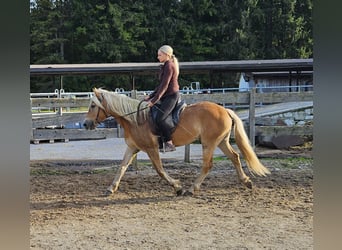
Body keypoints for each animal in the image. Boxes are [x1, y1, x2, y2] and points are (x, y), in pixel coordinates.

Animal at [83, 87, 270, 196]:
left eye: (93, 105)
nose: (85, 124)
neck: (135, 119)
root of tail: (225, 110)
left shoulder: (151, 148)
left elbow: (159, 170)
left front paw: (177, 187)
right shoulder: (132, 148)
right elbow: (121, 167)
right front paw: (110, 188)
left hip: (209, 143)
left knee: (208, 165)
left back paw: (191, 189)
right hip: (221, 141)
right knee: (235, 157)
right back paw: (246, 182)